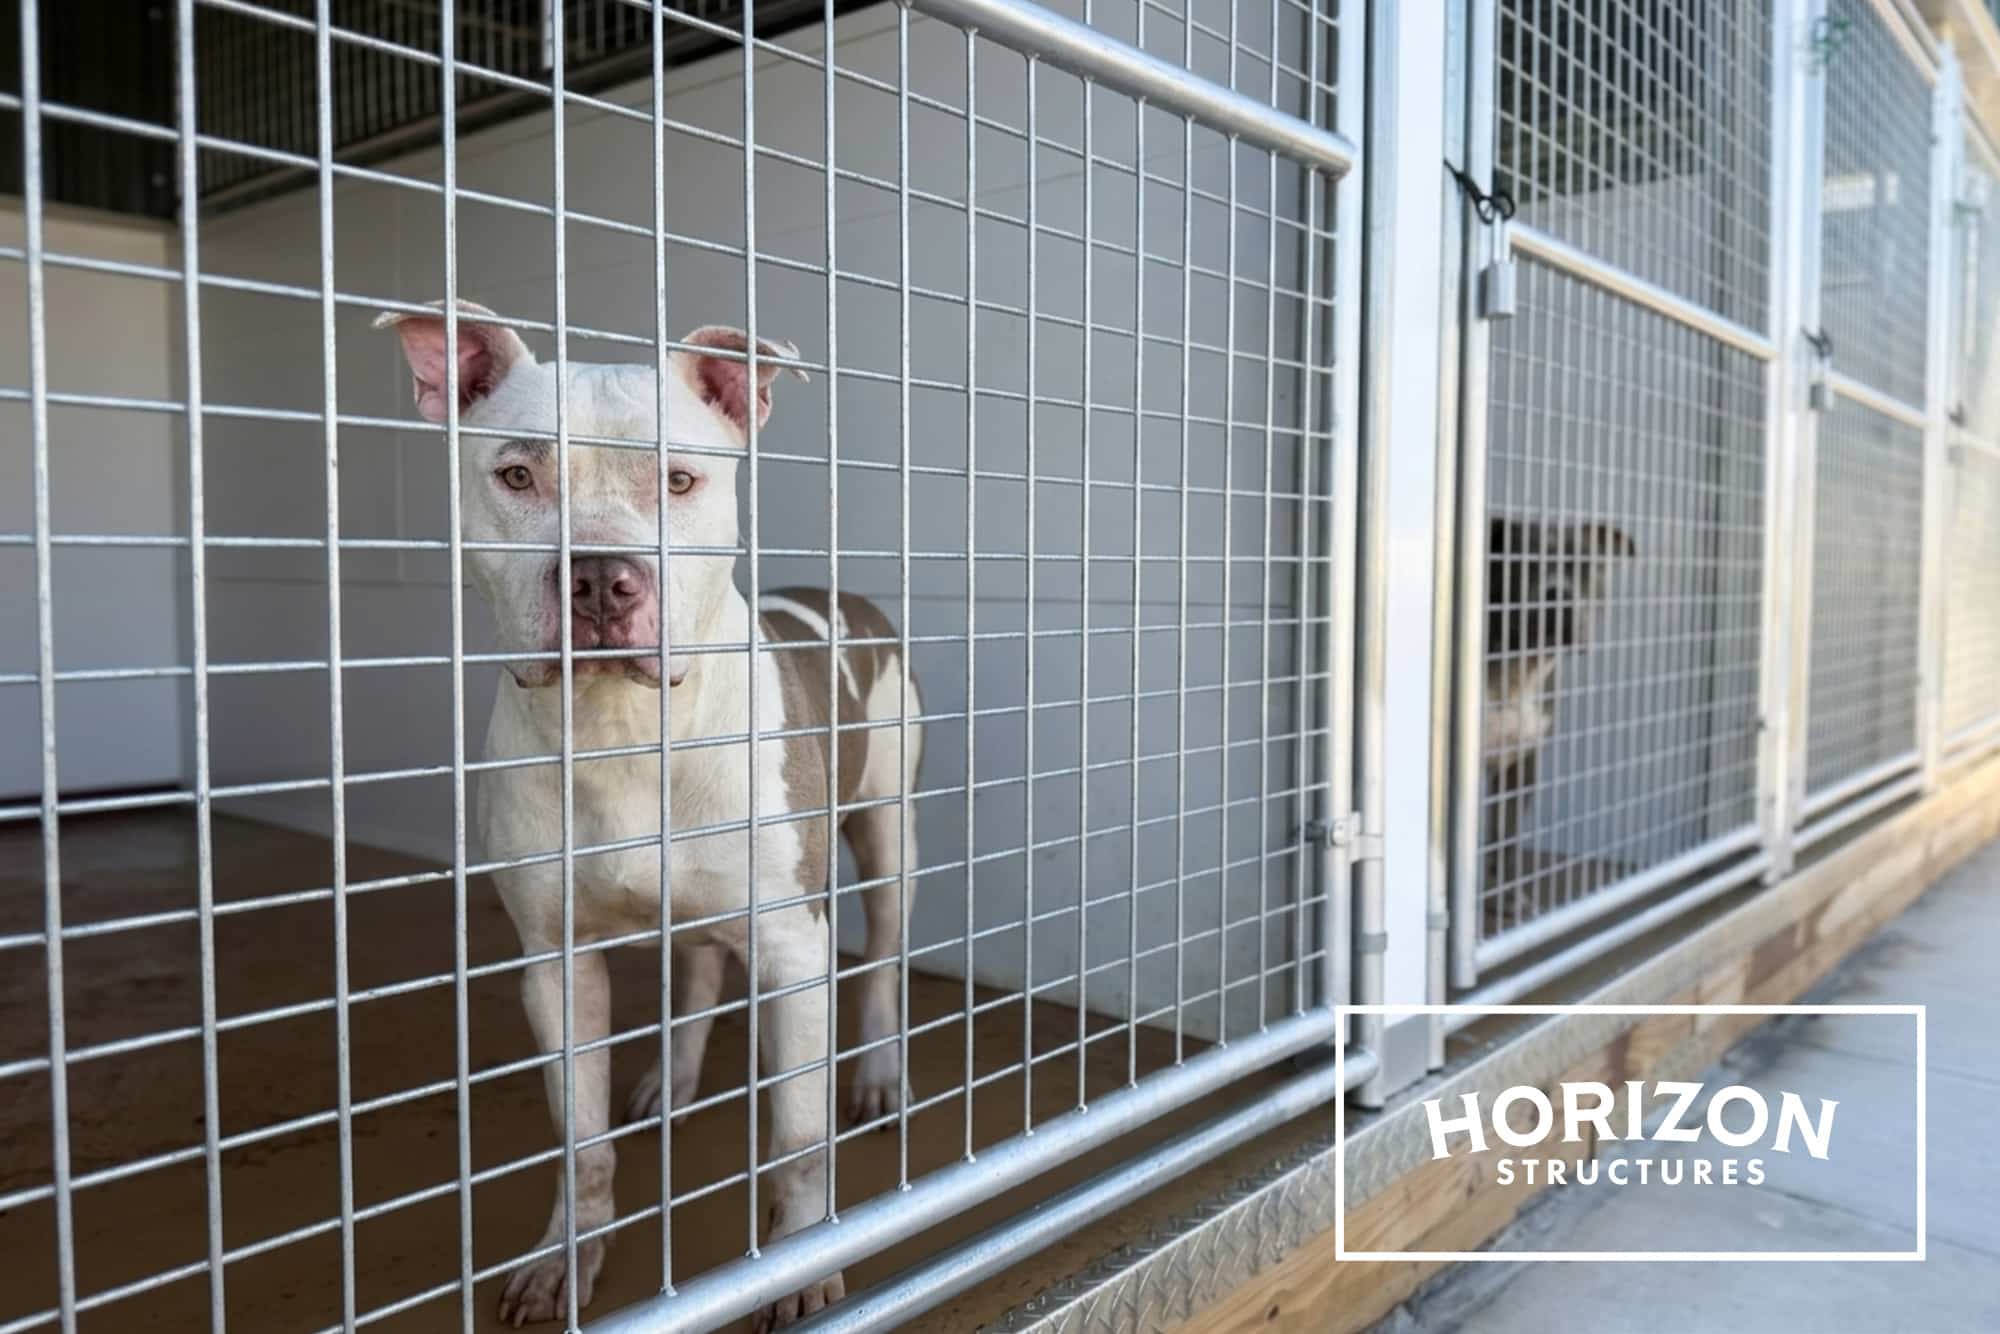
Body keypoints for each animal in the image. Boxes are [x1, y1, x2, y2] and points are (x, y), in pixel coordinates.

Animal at [375, 300, 923, 1329]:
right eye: (517, 475)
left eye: (679, 479)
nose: (599, 577)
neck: (620, 730)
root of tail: (840, 594)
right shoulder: (556, 966)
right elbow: (581, 1144)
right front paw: (566, 1259)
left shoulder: (792, 946)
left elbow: (798, 1136)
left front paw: (803, 1266)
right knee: (699, 971)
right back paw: (672, 1079)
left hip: (888, 836)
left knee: (879, 963)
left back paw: (878, 1075)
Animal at [1482, 516, 1634, 899]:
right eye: (1524, 561)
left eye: (1585, 565)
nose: (1559, 597)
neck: (1518, 668)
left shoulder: (1521, 763)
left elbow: (1504, 838)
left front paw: (1504, 896)